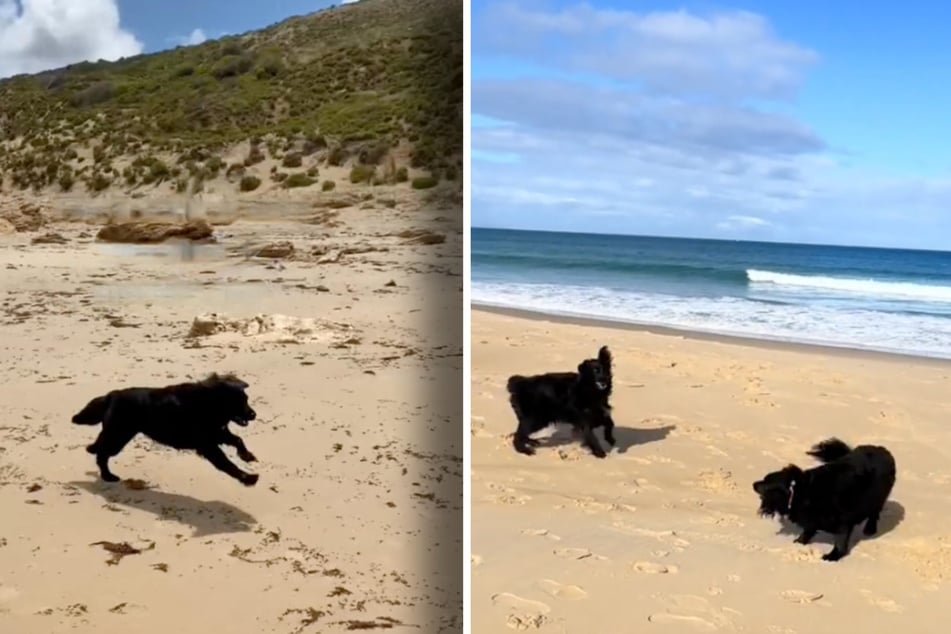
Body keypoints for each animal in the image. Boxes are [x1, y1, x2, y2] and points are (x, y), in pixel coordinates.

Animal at [71, 370, 260, 484]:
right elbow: (227, 464)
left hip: (117, 434)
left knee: (98, 447)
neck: (209, 403)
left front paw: (247, 456)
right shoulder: (208, 446)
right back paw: (108, 476)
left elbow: (238, 440)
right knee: (102, 454)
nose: (253, 415)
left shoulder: (218, 434)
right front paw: (248, 478)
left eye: (246, 399)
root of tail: (112, 394)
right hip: (118, 435)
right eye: (239, 401)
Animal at [756, 436, 896, 560]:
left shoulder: (843, 523)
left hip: (877, 498)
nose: (753, 484)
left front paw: (833, 556)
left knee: (874, 513)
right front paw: (800, 541)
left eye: (766, 483)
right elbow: (808, 530)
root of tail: (881, 449)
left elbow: (840, 541)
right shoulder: (812, 520)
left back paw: (870, 528)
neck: (800, 492)